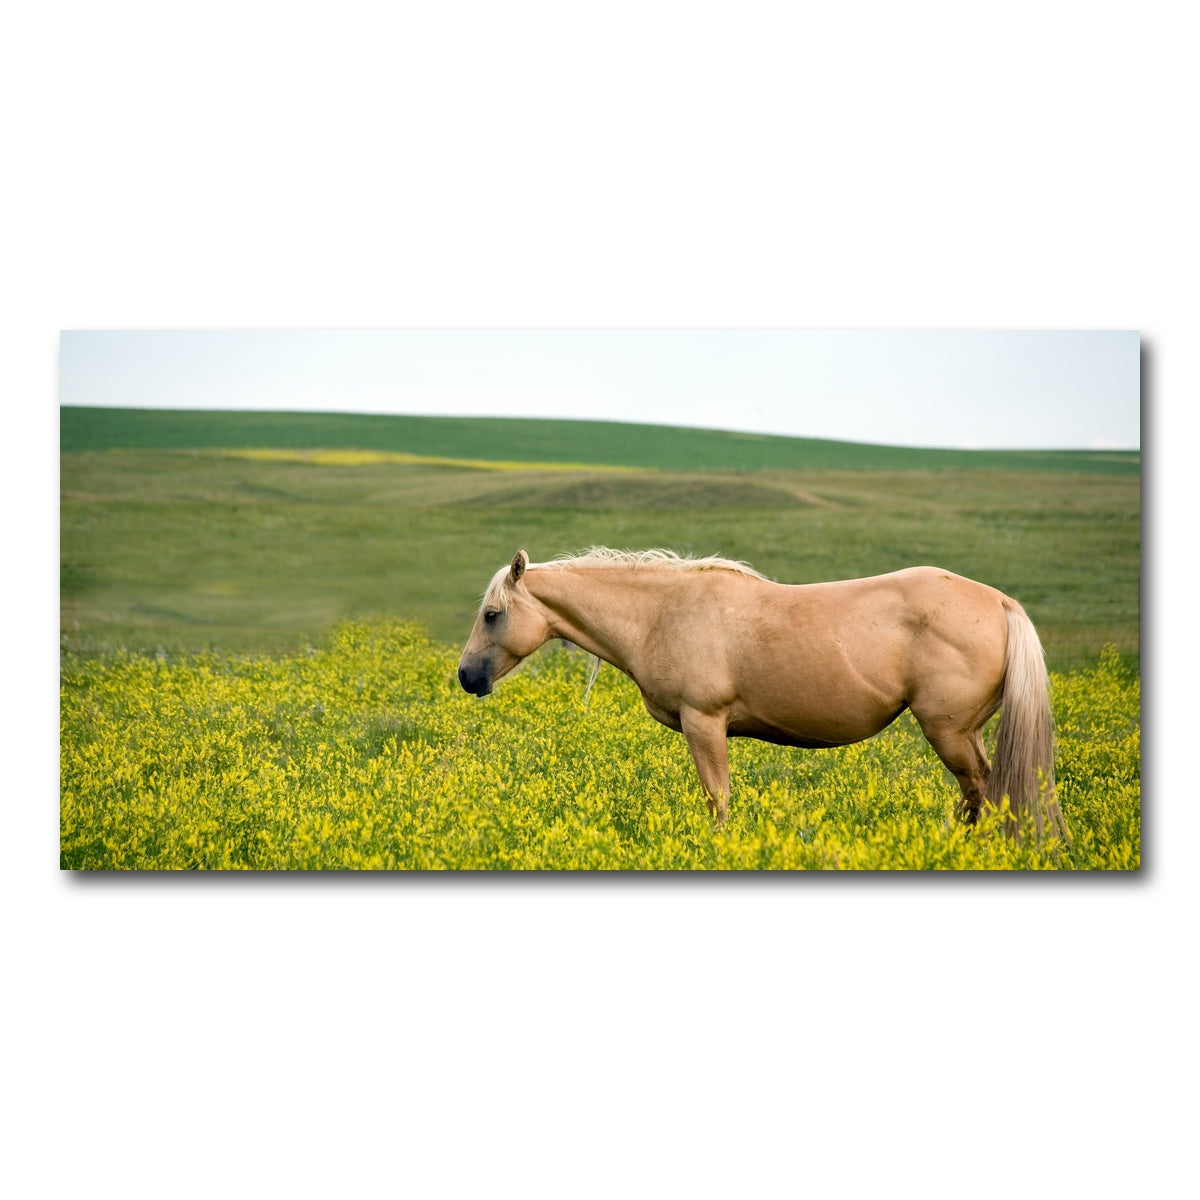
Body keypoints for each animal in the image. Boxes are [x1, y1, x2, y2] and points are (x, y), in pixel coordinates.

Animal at [457, 547, 1064, 839]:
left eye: (492, 615)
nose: (466, 677)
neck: (661, 613)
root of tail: (999, 602)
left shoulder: (705, 724)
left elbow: (718, 800)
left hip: (949, 732)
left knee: (982, 790)